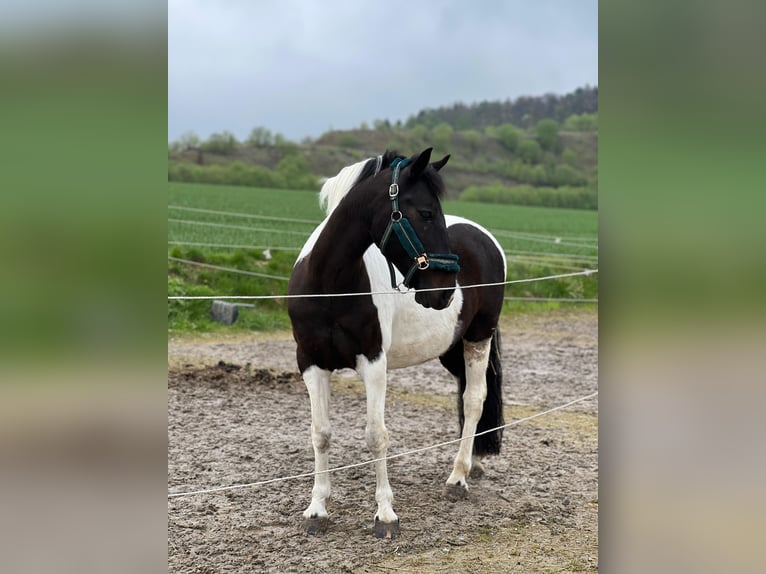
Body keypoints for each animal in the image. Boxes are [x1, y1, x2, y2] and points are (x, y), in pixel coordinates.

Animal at [284, 148, 508, 540]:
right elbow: (320, 434)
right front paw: (317, 510)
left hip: (478, 337)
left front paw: (385, 514)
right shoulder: (311, 363)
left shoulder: (374, 363)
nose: (445, 292)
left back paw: (458, 477)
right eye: (426, 213)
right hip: (450, 349)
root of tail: (486, 239)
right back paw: (474, 462)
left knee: (474, 400)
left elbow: (377, 436)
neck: (329, 286)